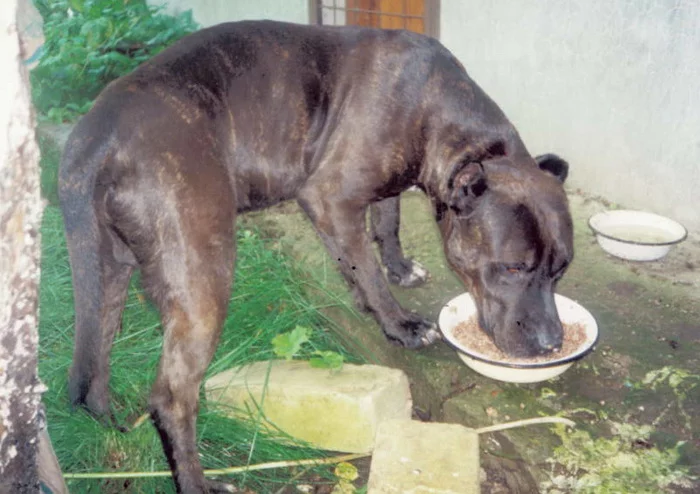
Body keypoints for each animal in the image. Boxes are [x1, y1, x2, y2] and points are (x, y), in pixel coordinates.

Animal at [58, 20, 576, 494]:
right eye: (512, 267)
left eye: (562, 268)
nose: (552, 343)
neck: (436, 112)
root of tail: (98, 137)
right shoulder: (331, 198)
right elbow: (365, 269)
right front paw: (399, 323)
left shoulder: (381, 188)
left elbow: (385, 224)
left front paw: (399, 269)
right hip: (202, 276)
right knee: (171, 397)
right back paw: (198, 483)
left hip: (107, 271)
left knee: (94, 363)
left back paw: (110, 424)